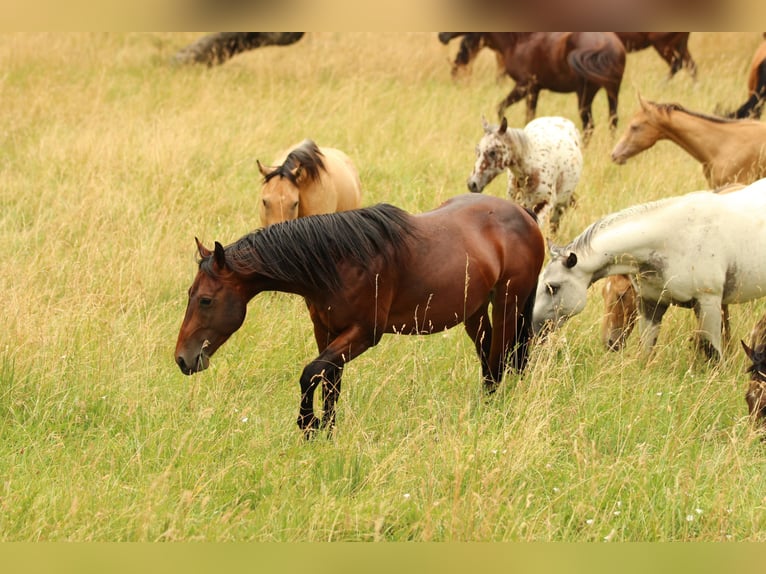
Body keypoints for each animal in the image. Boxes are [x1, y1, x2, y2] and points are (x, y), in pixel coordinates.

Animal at [175, 194, 545, 437]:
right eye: (191, 295)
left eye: (205, 300)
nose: (182, 358)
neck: (341, 261)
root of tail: (525, 215)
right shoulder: (327, 332)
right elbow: (329, 382)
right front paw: (327, 431)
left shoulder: (364, 334)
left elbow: (310, 373)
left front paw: (308, 424)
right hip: (475, 312)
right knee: (488, 361)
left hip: (509, 304)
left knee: (499, 361)